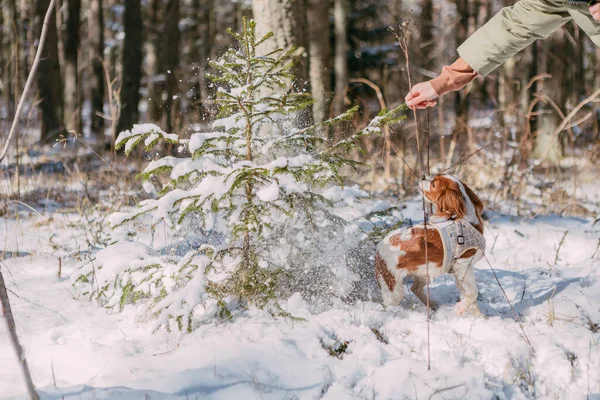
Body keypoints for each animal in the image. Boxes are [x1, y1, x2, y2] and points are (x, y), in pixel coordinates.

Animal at [376, 175, 488, 316]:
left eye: (433, 184)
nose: (422, 177)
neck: (467, 221)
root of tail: (379, 247)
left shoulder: (461, 271)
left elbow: (469, 295)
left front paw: (479, 317)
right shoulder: (463, 266)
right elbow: (473, 293)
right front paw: (460, 308)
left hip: (424, 272)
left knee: (415, 288)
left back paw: (434, 305)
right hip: (392, 287)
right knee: (391, 302)